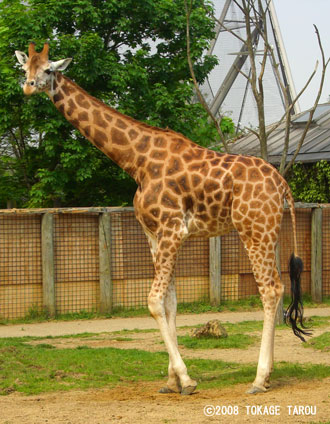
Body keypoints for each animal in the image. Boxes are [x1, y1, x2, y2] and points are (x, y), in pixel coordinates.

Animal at [15, 43, 310, 394]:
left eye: (48, 69)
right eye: (25, 69)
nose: (28, 87)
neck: (136, 161)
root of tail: (282, 184)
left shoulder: (172, 230)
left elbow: (154, 301)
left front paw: (186, 379)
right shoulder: (154, 235)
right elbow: (170, 302)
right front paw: (171, 380)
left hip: (253, 229)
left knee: (270, 289)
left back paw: (259, 378)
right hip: (268, 230)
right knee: (278, 286)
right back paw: (270, 374)